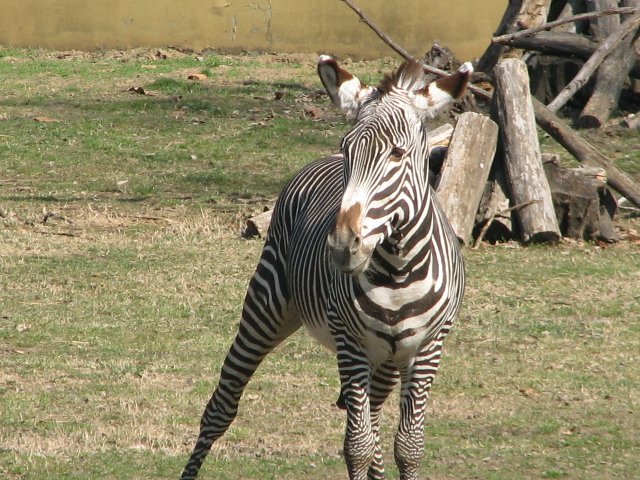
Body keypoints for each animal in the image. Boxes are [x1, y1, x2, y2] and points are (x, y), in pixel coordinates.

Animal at [180, 55, 471, 480]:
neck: (397, 270)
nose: (341, 247)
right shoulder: (351, 344)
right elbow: (358, 446)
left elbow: (408, 447)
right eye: (348, 148)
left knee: (377, 419)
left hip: (386, 358)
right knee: (221, 406)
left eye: (397, 154)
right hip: (267, 307)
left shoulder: (428, 348)